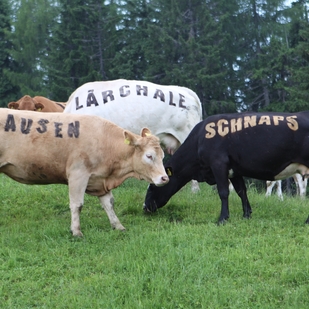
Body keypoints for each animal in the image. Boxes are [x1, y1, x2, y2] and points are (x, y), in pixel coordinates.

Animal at [0, 108, 168, 236]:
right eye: (149, 156)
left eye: (163, 156)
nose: (165, 178)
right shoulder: (78, 174)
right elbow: (77, 204)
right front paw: (76, 231)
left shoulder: (101, 180)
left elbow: (109, 204)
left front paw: (118, 226)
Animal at [143, 110, 309, 224]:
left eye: (152, 187)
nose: (145, 207)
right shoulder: (234, 170)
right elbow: (242, 191)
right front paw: (246, 215)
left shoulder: (218, 164)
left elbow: (223, 192)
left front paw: (222, 219)